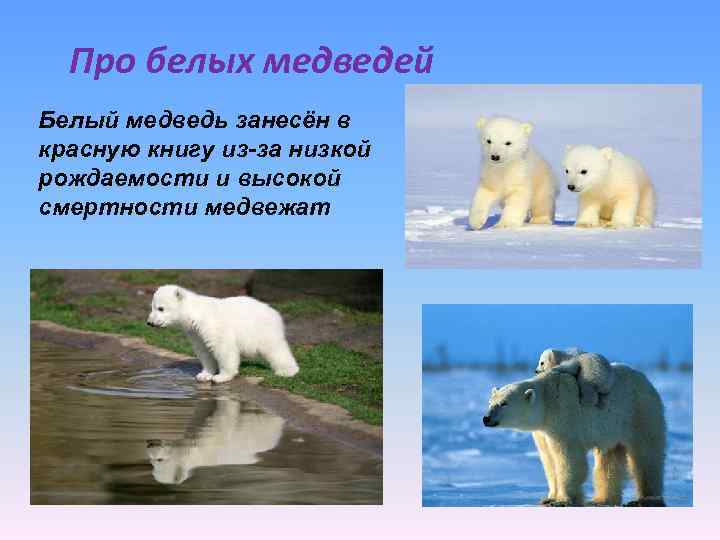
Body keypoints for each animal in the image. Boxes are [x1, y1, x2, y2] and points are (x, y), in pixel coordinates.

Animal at [146, 284, 300, 383]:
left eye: (161, 308)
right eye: (152, 307)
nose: (149, 322)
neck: (195, 313)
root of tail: (274, 312)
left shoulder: (212, 325)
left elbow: (223, 348)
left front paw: (221, 377)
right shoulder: (195, 332)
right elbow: (203, 350)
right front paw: (204, 375)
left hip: (262, 329)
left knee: (275, 349)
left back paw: (287, 371)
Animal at [146, 398, 285, 484]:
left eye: (159, 460)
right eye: (151, 461)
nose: (150, 443)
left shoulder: (214, 438)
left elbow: (224, 415)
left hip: (263, 427)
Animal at [483, 365, 666, 507]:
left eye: (504, 403)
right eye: (490, 402)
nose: (486, 418)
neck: (547, 400)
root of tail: (646, 380)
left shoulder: (563, 417)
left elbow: (568, 458)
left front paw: (563, 500)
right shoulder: (544, 431)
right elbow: (549, 460)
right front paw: (548, 498)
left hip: (639, 411)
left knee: (646, 455)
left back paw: (647, 499)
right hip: (613, 430)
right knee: (609, 460)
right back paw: (601, 500)